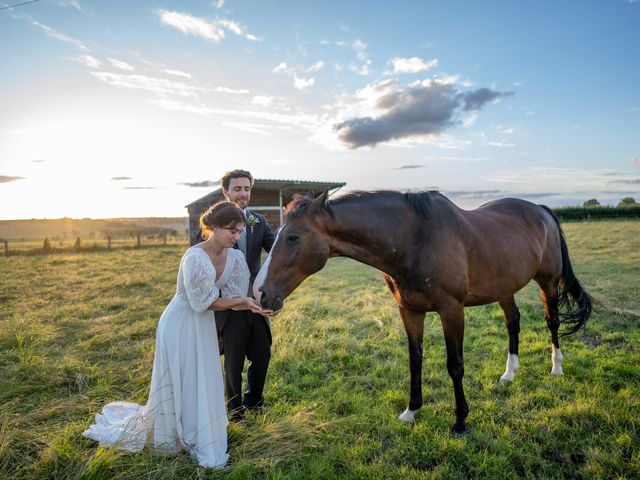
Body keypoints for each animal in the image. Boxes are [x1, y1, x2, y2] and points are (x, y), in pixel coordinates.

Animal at [254, 189, 592, 434]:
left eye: (293, 237)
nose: (260, 293)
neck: (414, 240)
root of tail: (541, 210)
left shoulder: (451, 310)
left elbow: (455, 365)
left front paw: (460, 421)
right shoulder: (410, 311)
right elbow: (415, 361)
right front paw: (411, 410)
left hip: (548, 282)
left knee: (552, 322)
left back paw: (556, 367)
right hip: (504, 287)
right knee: (513, 322)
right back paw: (509, 373)